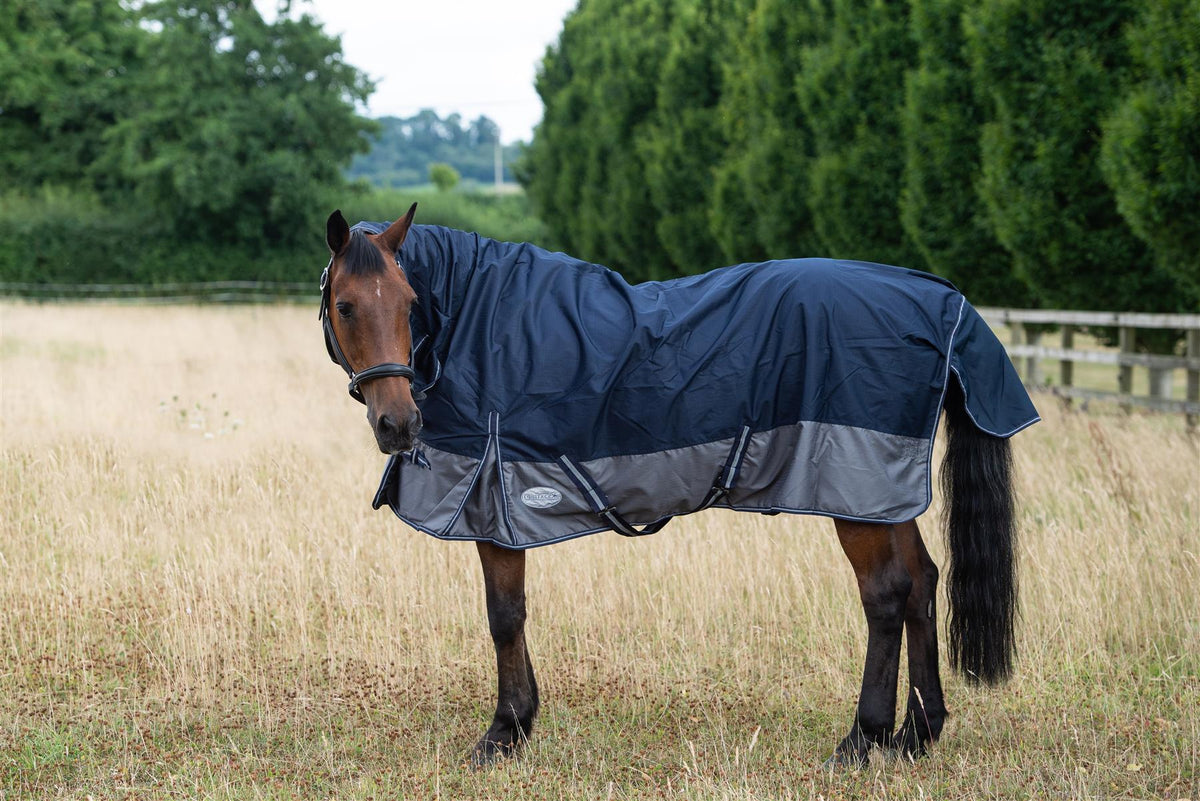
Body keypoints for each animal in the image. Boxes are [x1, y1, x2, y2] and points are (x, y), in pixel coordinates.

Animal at [319, 205, 1038, 766]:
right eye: (347, 306)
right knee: (921, 582)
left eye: (410, 305)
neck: (484, 327)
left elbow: (504, 616)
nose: (398, 424)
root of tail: (940, 300)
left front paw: (503, 732)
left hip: (856, 494)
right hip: (886, 494)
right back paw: (918, 733)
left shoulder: (494, 501)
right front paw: (521, 723)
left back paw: (863, 739)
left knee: (886, 594)